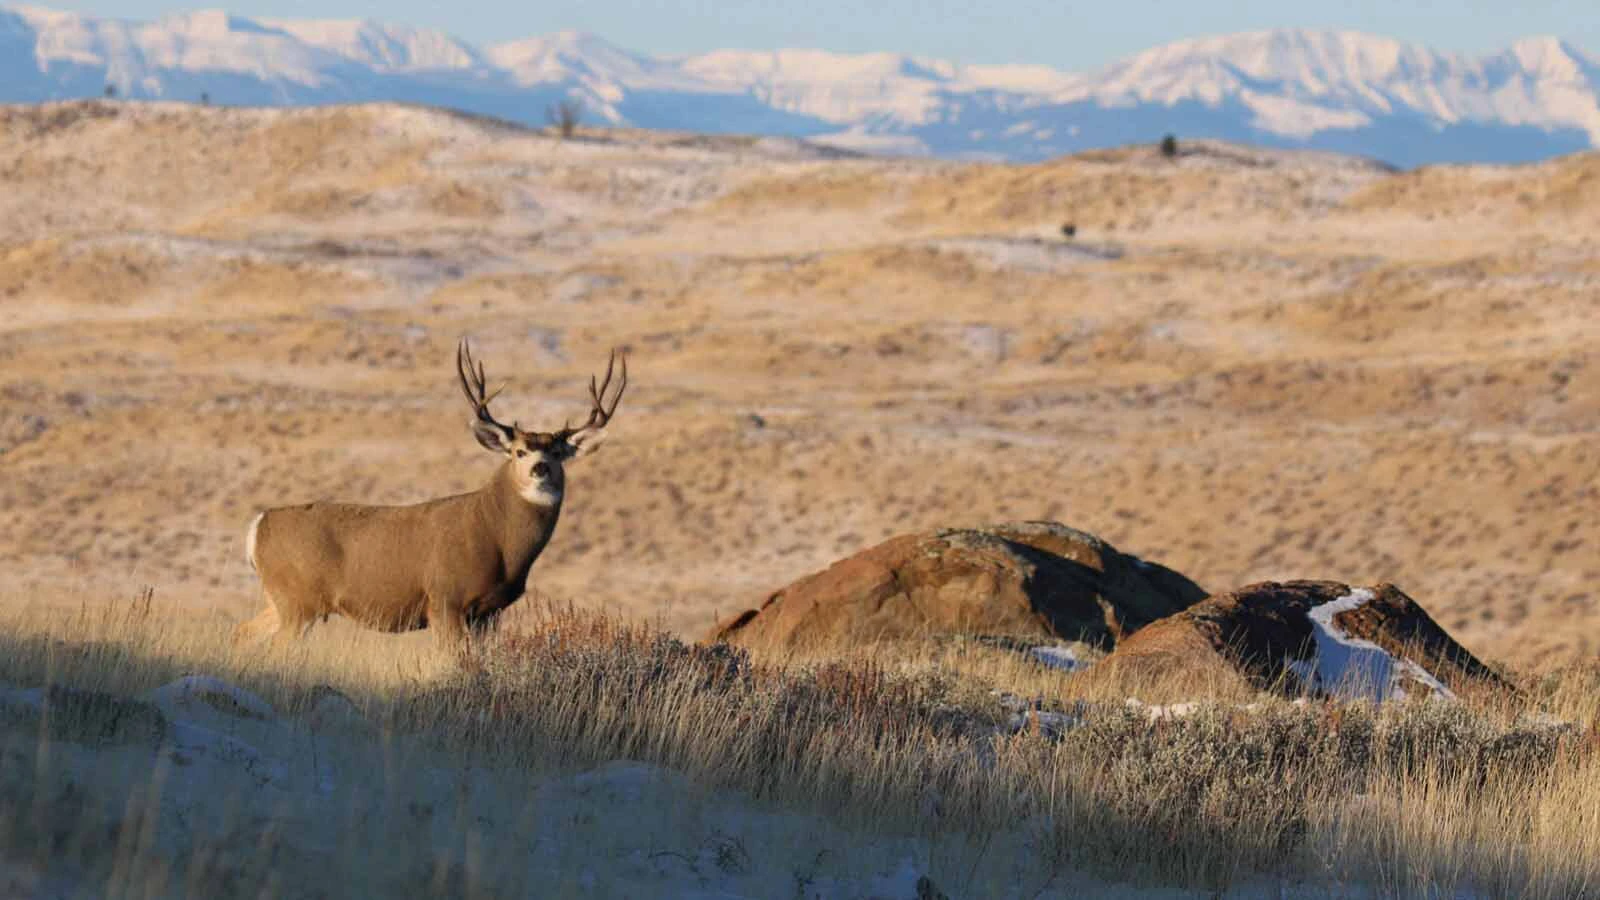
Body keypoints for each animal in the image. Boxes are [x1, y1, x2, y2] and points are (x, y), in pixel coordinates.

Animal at [235, 339, 626, 649]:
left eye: (558, 453)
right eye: (519, 452)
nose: (540, 469)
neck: (497, 536)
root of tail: (257, 526)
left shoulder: (488, 613)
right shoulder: (444, 598)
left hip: (283, 600)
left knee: (241, 632)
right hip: (298, 600)